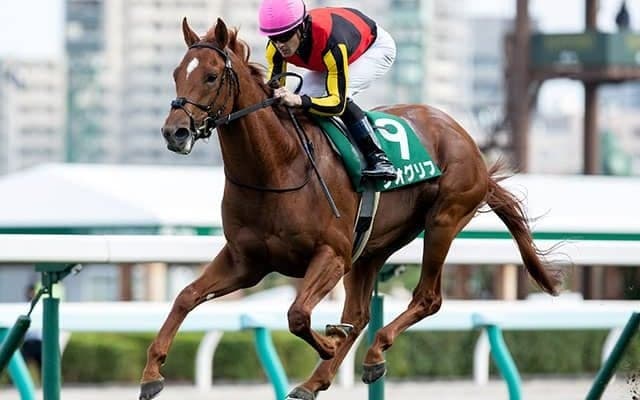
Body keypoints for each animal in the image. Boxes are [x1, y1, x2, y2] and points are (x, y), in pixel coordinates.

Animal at [140, 17, 561, 400]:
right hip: (373, 247)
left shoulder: (332, 254)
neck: (278, 165)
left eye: (211, 77)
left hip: (443, 219)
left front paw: (328, 342)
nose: (174, 132)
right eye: (177, 74)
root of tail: (468, 143)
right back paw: (317, 380)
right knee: (359, 315)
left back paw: (373, 353)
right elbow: (186, 296)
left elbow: (297, 315)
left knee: (426, 298)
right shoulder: (246, 261)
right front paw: (151, 374)